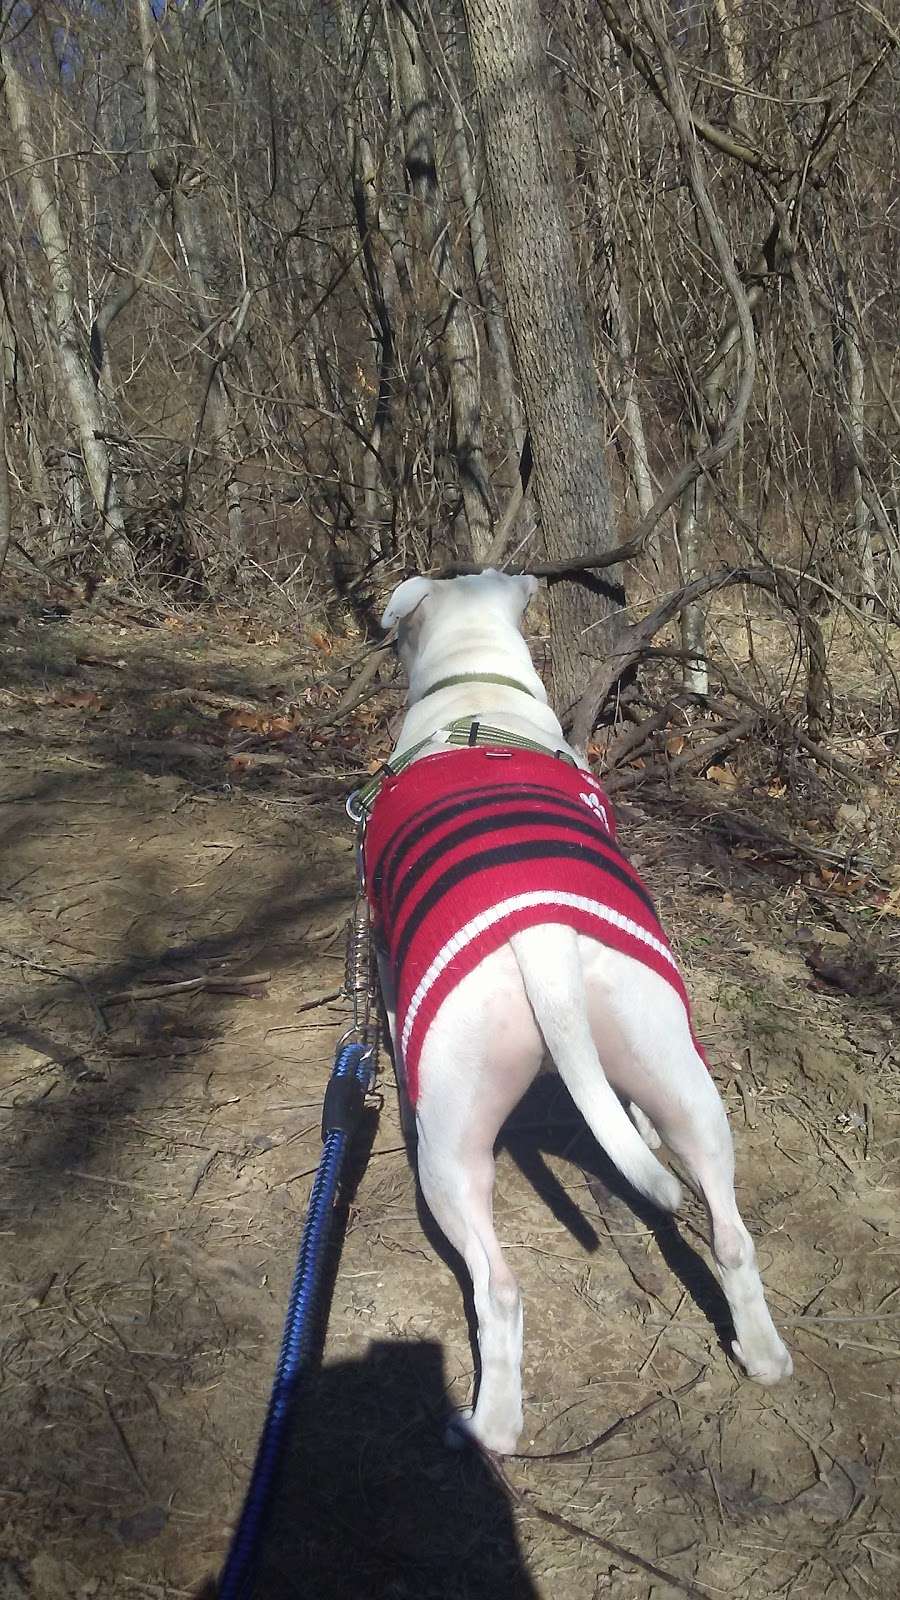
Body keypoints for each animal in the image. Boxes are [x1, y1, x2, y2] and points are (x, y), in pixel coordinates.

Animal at [360, 569, 787, 1459]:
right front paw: (635, 1129)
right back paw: (763, 1355)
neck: (475, 689)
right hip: (678, 1069)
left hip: (449, 1149)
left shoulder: (381, 936)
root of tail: (543, 936)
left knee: (497, 1286)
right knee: (729, 1229)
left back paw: (488, 1426)